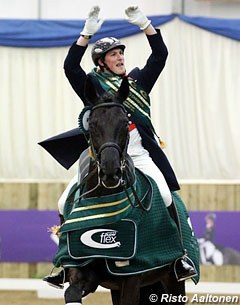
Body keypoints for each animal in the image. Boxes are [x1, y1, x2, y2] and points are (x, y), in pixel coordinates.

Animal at [56, 75, 197, 304]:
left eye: (124, 124)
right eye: (92, 124)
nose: (110, 171)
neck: (104, 204)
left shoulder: (132, 277)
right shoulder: (82, 269)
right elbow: (72, 292)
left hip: (172, 281)